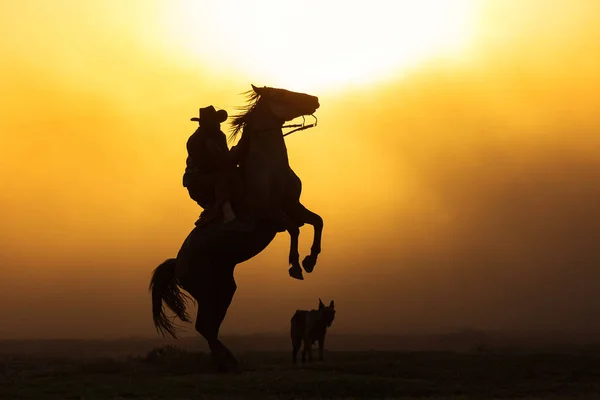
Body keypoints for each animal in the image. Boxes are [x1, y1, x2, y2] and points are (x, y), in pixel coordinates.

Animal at [151, 84, 324, 372]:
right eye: (282, 94)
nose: (315, 99)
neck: (268, 168)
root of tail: (177, 264)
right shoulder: (271, 215)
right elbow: (295, 229)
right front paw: (296, 266)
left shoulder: (294, 206)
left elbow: (317, 222)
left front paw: (311, 261)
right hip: (206, 290)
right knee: (205, 326)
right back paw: (226, 362)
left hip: (224, 288)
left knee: (210, 327)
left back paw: (227, 363)